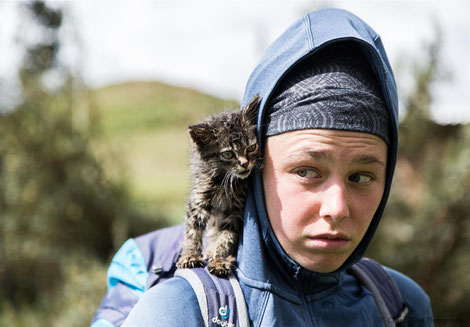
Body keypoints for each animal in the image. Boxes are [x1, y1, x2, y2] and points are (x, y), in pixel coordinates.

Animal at [177, 95, 260, 276]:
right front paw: (190, 255)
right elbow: (192, 230)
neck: (223, 181)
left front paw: (220, 260)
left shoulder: (237, 210)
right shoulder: (199, 198)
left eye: (251, 147)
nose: (245, 164)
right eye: (228, 154)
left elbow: (227, 236)